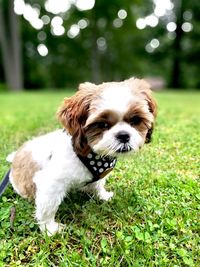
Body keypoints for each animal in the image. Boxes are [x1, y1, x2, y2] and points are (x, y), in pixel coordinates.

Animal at [6, 78, 157, 237]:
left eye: (135, 120)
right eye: (102, 124)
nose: (123, 135)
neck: (92, 154)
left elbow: (98, 184)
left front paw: (102, 196)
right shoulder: (51, 182)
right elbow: (48, 206)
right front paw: (50, 228)